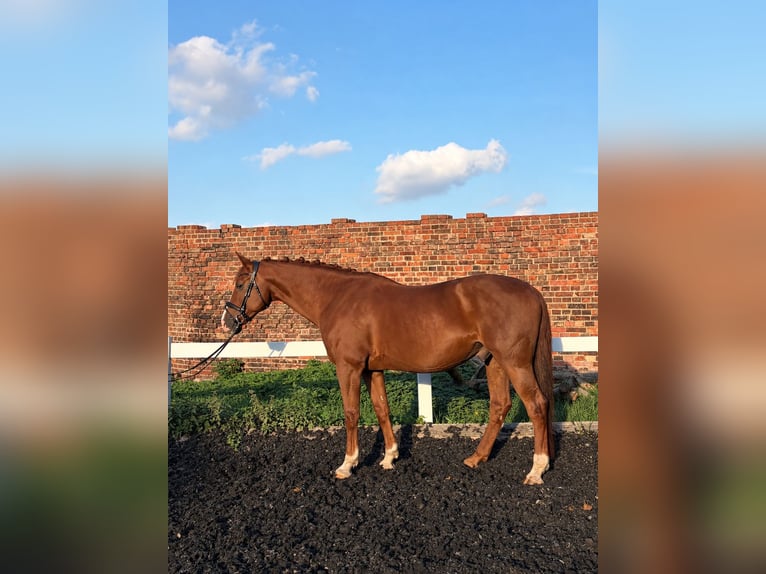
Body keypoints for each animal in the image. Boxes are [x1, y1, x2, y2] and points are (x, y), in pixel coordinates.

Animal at [221, 253, 555, 484]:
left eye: (240, 284)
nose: (228, 321)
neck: (337, 298)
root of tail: (532, 291)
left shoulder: (349, 368)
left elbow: (351, 413)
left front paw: (348, 464)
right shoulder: (373, 370)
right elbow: (382, 409)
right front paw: (389, 457)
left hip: (514, 362)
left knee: (537, 405)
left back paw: (537, 470)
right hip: (494, 362)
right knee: (500, 405)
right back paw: (476, 458)